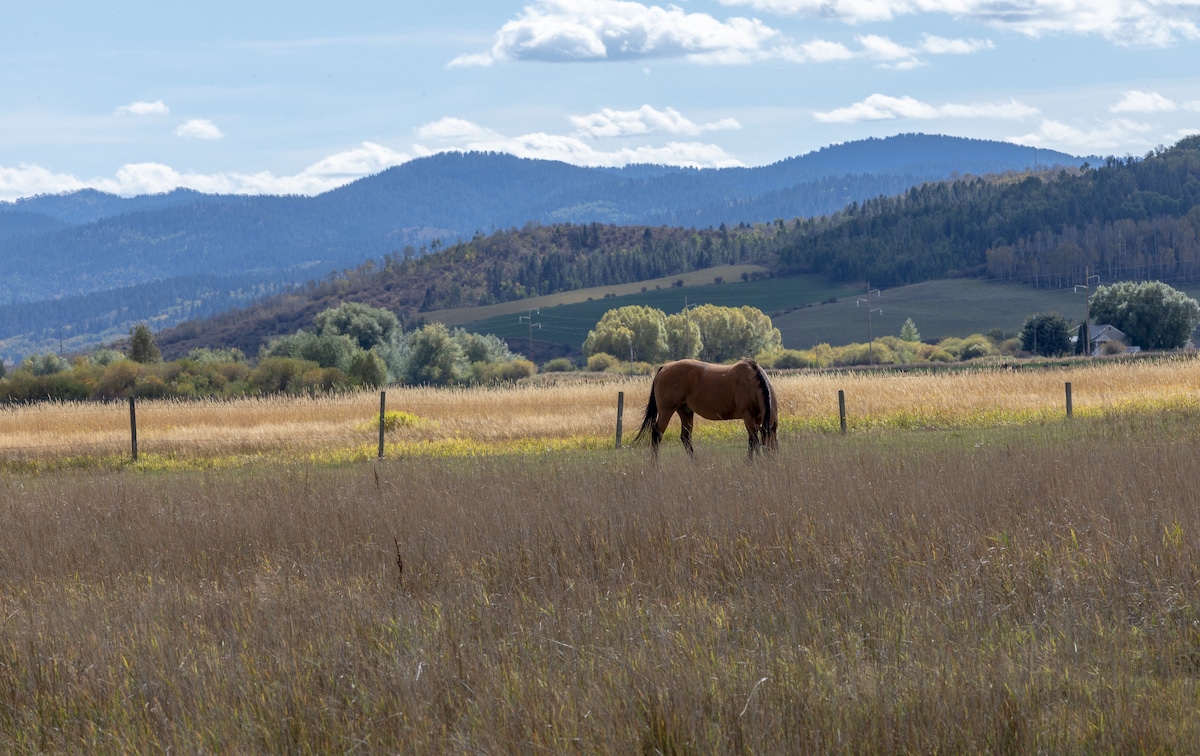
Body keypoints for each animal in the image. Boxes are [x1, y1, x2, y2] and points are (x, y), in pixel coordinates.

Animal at [638, 360, 777, 463]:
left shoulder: (757, 418)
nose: (771, 460)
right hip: (666, 410)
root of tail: (664, 368)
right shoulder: (747, 416)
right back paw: (655, 464)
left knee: (685, 437)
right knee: (657, 434)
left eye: (775, 440)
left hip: (685, 411)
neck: (750, 382)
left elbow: (752, 440)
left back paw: (695, 463)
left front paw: (750, 461)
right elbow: (754, 440)